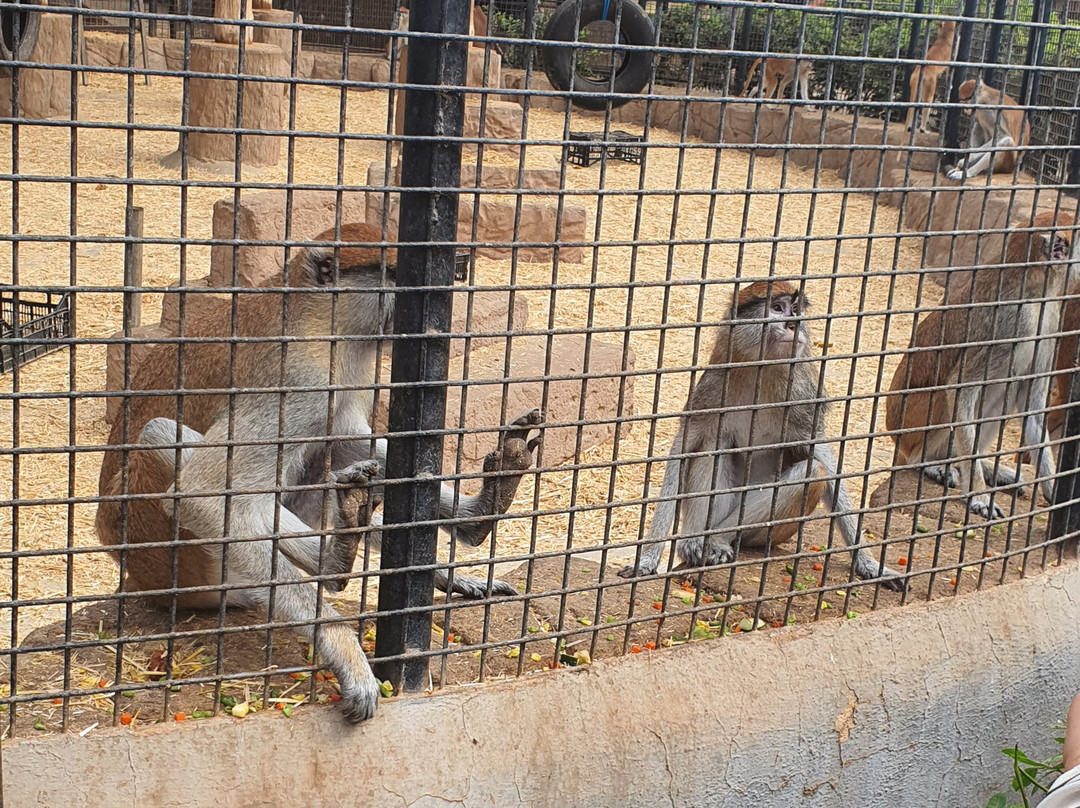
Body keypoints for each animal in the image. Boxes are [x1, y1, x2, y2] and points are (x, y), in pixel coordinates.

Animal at [96, 222, 543, 722]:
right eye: (396, 276)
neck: (321, 318)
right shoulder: (300, 382)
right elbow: (203, 495)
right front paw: (342, 647)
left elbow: (357, 445)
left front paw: (481, 506)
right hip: (169, 557)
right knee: (160, 437)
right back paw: (333, 565)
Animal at [618, 281, 903, 591]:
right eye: (777, 308)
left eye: (796, 309)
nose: (793, 324)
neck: (762, 369)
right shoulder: (713, 387)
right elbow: (684, 446)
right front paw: (647, 559)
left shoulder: (802, 398)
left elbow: (822, 460)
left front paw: (870, 564)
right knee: (714, 444)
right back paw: (694, 542)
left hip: (775, 533)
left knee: (812, 473)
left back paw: (715, 540)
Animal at [886, 211, 1078, 519]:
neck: (1033, 284)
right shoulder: (1011, 323)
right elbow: (959, 388)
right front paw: (978, 496)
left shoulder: (1047, 326)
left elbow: (1032, 405)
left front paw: (1054, 490)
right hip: (911, 421)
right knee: (944, 403)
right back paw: (933, 465)